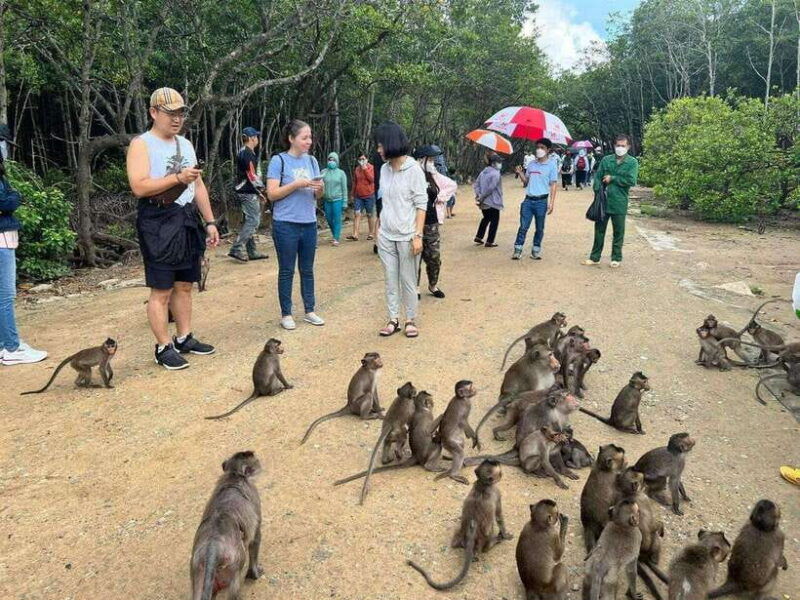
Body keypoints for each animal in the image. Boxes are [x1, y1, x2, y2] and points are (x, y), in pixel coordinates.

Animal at [189, 451, 262, 600]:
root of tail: (213, 546)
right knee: (234, 586)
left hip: (198, 567)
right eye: (254, 460)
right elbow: (255, 539)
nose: (259, 464)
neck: (233, 475)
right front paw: (255, 573)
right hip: (233, 563)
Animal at [407, 459, 512, 590]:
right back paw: (494, 541)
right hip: (483, 539)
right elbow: (499, 516)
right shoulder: (497, 492)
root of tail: (471, 529)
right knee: (488, 535)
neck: (482, 485)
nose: (502, 475)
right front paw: (505, 535)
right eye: (500, 473)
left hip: (461, 533)